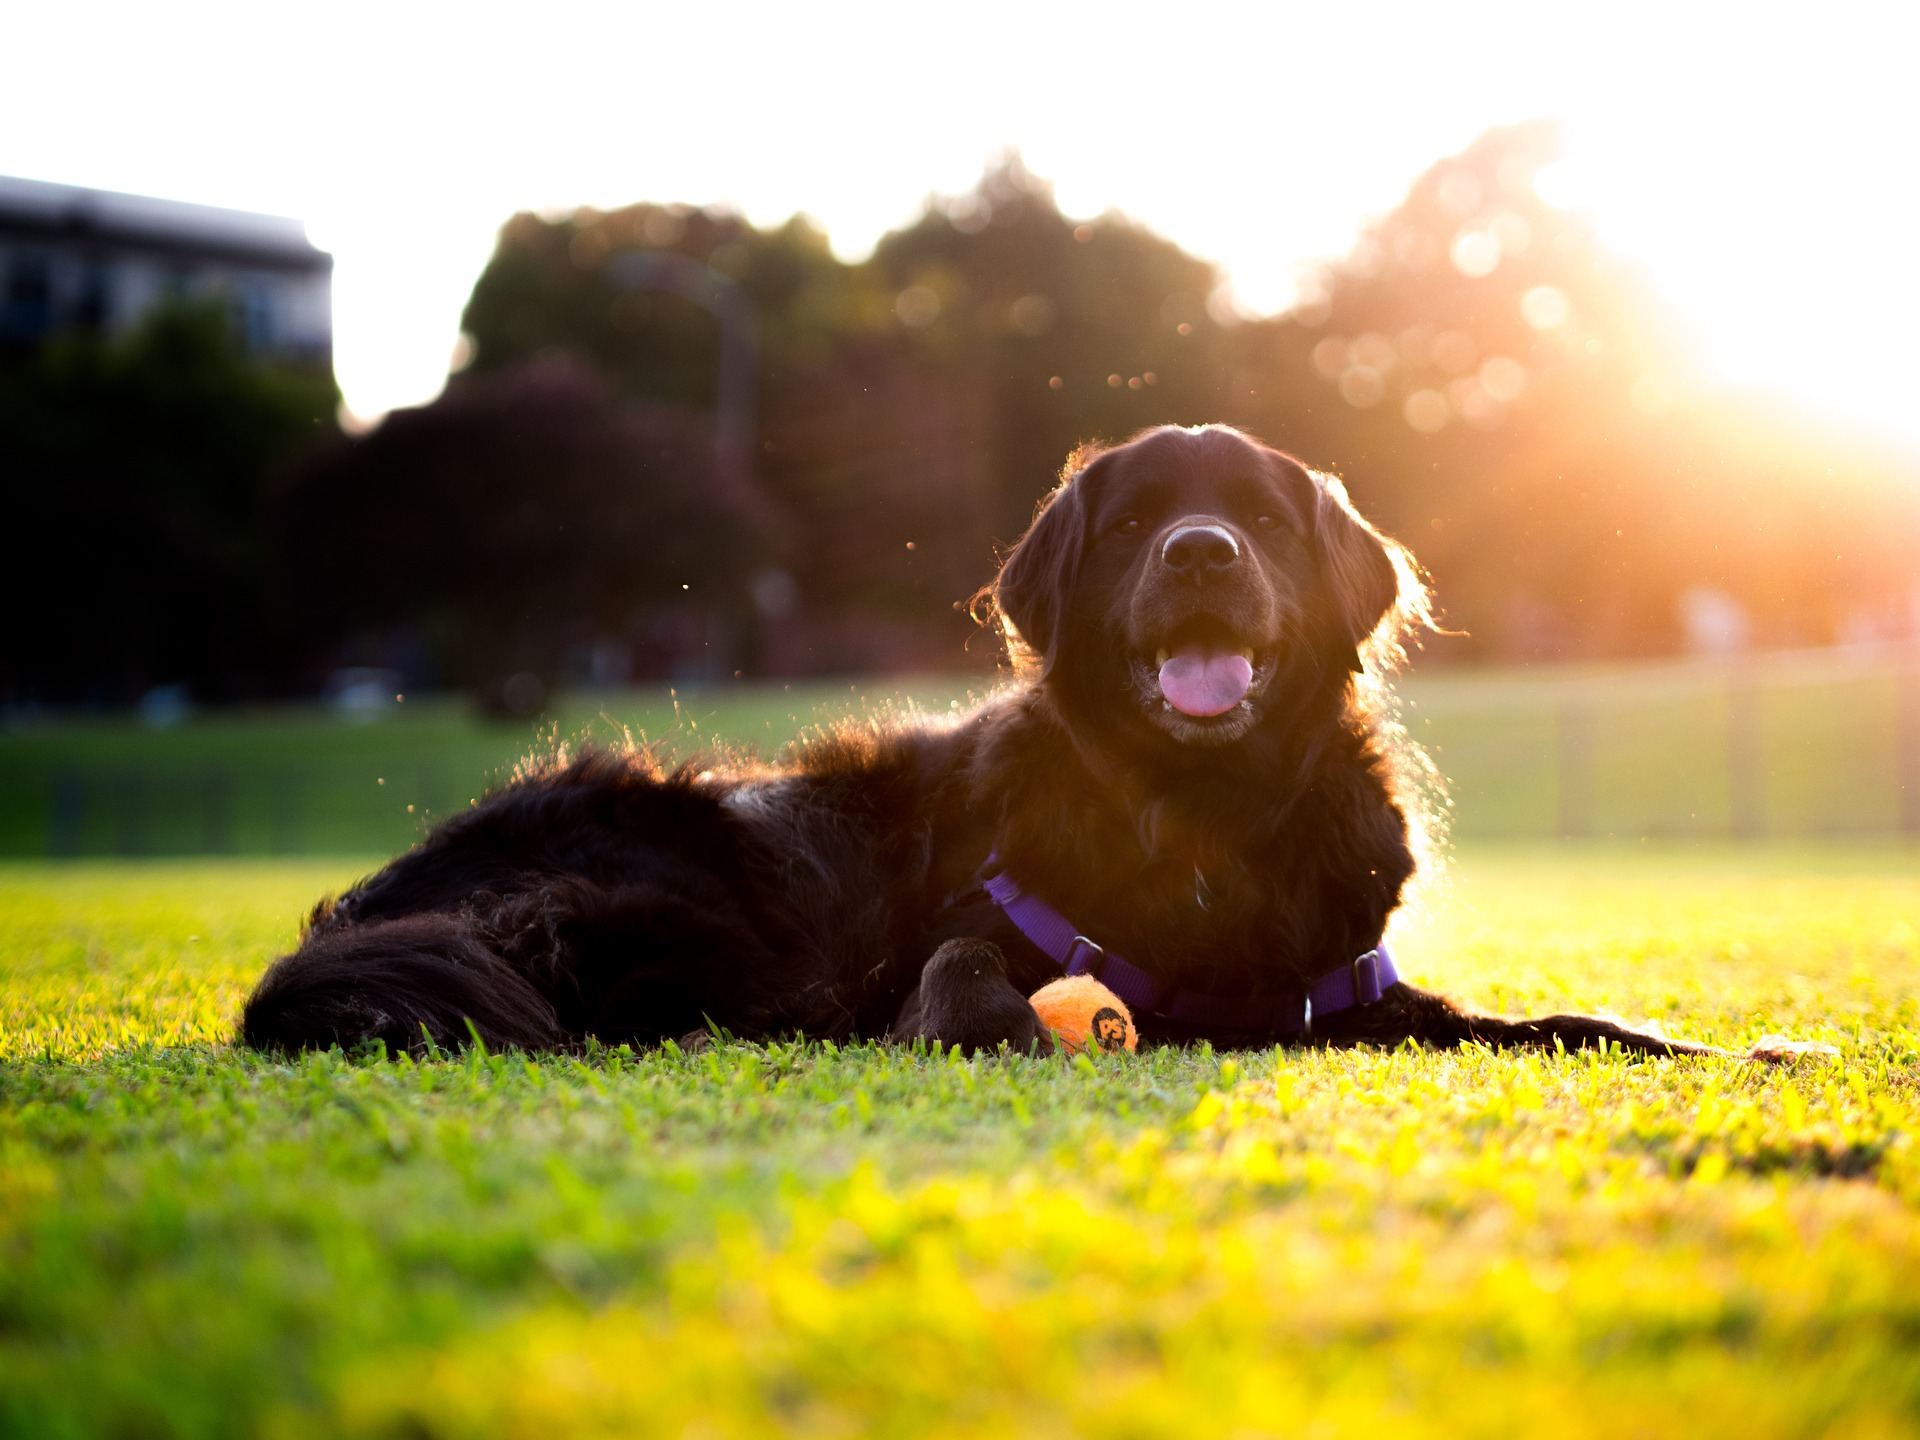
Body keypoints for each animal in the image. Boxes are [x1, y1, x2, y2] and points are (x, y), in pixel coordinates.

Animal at [243, 426, 1781, 1059]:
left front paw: (1741, 1051)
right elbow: (963, 965)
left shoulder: (1342, 992)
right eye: (1138, 516)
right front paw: (980, 1024)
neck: (1200, 819)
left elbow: (1570, 1026)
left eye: (1263, 519)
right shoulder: (974, 933)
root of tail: (368, 911)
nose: (1203, 552)